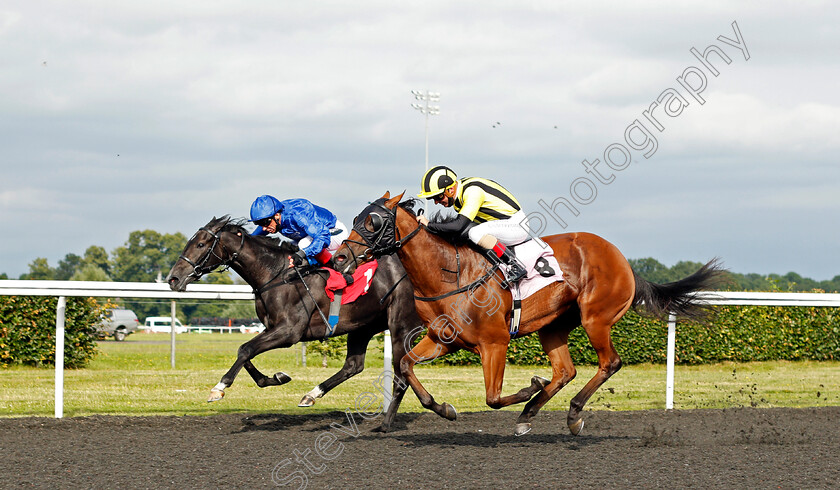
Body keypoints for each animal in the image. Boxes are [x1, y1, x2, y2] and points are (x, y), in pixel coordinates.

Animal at [167, 216, 424, 430]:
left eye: (201, 245)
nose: (173, 279)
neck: (276, 275)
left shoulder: (289, 331)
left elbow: (246, 350)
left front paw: (218, 389)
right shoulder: (271, 328)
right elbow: (245, 353)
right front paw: (276, 378)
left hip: (401, 325)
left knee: (400, 373)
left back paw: (387, 423)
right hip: (363, 325)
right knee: (353, 365)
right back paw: (311, 394)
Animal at [332, 192, 724, 436]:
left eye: (373, 222)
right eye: (356, 218)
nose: (339, 258)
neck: (449, 271)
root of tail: (624, 260)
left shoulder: (495, 343)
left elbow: (492, 398)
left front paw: (527, 388)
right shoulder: (443, 340)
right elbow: (405, 365)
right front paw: (444, 408)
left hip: (595, 319)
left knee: (608, 363)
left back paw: (571, 412)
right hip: (552, 326)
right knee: (565, 371)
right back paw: (529, 415)